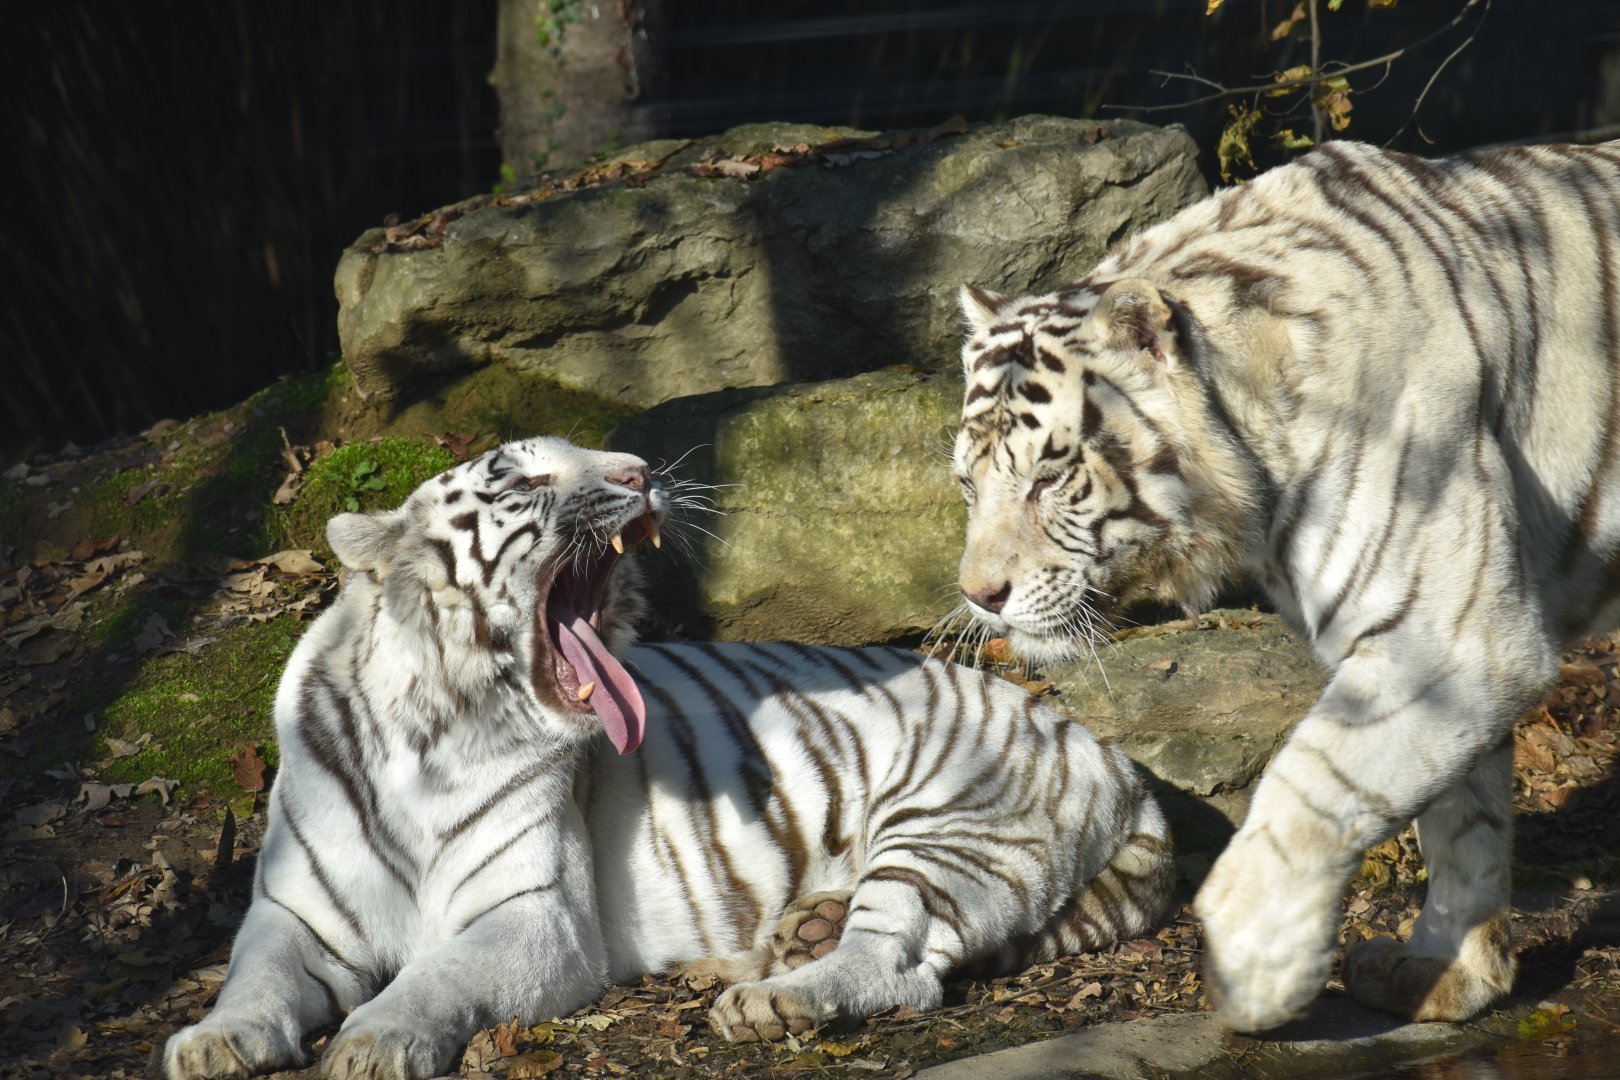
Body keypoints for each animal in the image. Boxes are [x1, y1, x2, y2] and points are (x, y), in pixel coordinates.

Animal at [164, 435, 1173, 1080]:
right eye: (521, 475)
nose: (641, 471)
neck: (433, 724)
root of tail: (1115, 758)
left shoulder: (533, 917)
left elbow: (434, 974)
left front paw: (376, 1041)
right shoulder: (295, 908)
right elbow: (252, 976)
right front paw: (213, 1041)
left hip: (946, 825)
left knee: (900, 965)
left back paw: (775, 999)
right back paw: (798, 933)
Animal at [949, 137, 1620, 1033]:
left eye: (1050, 479)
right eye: (968, 484)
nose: (979, 594)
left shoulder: (1452, 639)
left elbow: (1312, 788)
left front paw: (1252, 964)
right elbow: (1460, 812)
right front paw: (1445, 970)